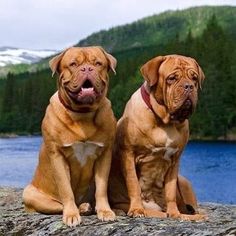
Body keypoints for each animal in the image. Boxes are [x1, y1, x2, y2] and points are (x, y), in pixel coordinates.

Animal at [22, 46, 116, 227]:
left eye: (98, 63)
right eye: (73, 64)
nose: (87, 68)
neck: (83, 114)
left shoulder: (104, 154)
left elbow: (101, 188)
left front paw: (105, 211)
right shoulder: (58, 156)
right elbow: (66, 189)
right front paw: (71, 215)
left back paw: (86, 206)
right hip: (29, 193)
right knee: (57, 205)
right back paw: (79, 209)